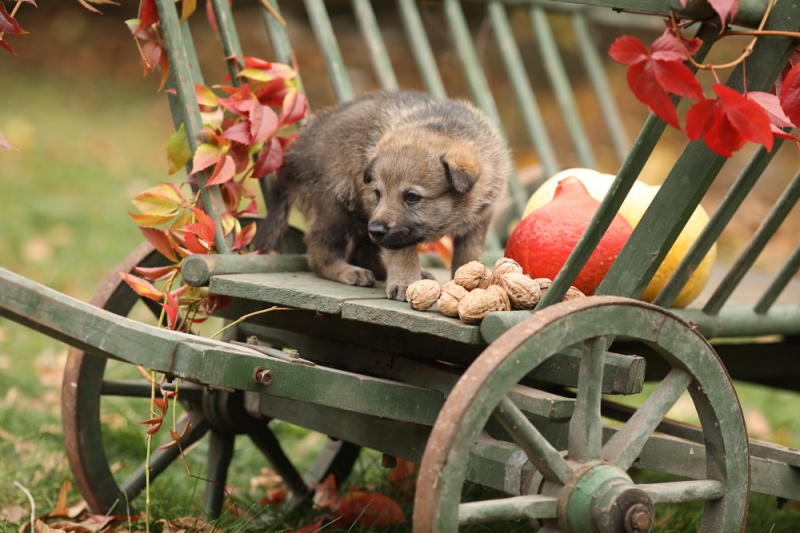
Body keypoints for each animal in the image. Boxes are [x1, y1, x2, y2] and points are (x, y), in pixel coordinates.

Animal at [253, 89, 510, 302]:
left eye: (412, 197)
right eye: (378, 193)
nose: (376, 229)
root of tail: (290, 160)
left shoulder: (477, 223)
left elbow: (468, 258)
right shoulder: (394, 234)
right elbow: (403, 254)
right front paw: (405, 283)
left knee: (361, 253)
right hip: (336, 208)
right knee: (320, 254)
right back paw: (348, 271)